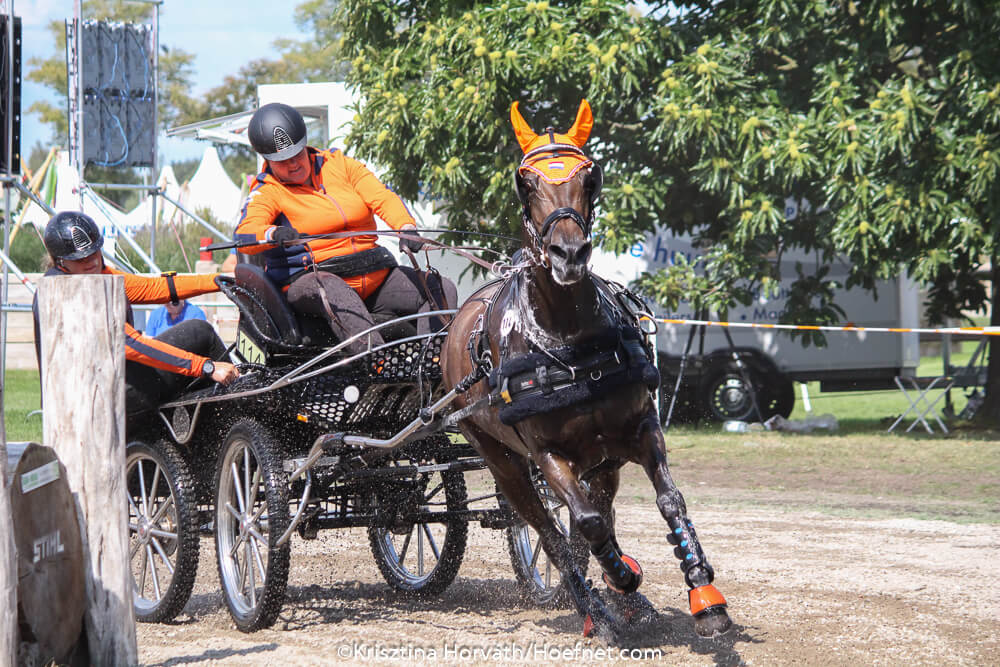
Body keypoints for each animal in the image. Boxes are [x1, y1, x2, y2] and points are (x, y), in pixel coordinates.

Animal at [442, 100, 732, 640]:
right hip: (501, 458)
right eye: (525, 181)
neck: (569, 340)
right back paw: (594, 608)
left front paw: (704, 594)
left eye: (589, 177)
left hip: (600, 459)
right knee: (550, 530)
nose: (569, 253)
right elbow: (586, 524)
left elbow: (669, 500)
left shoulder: (638, 429)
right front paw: (620, 578)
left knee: (588, 516)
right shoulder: (547, 454)